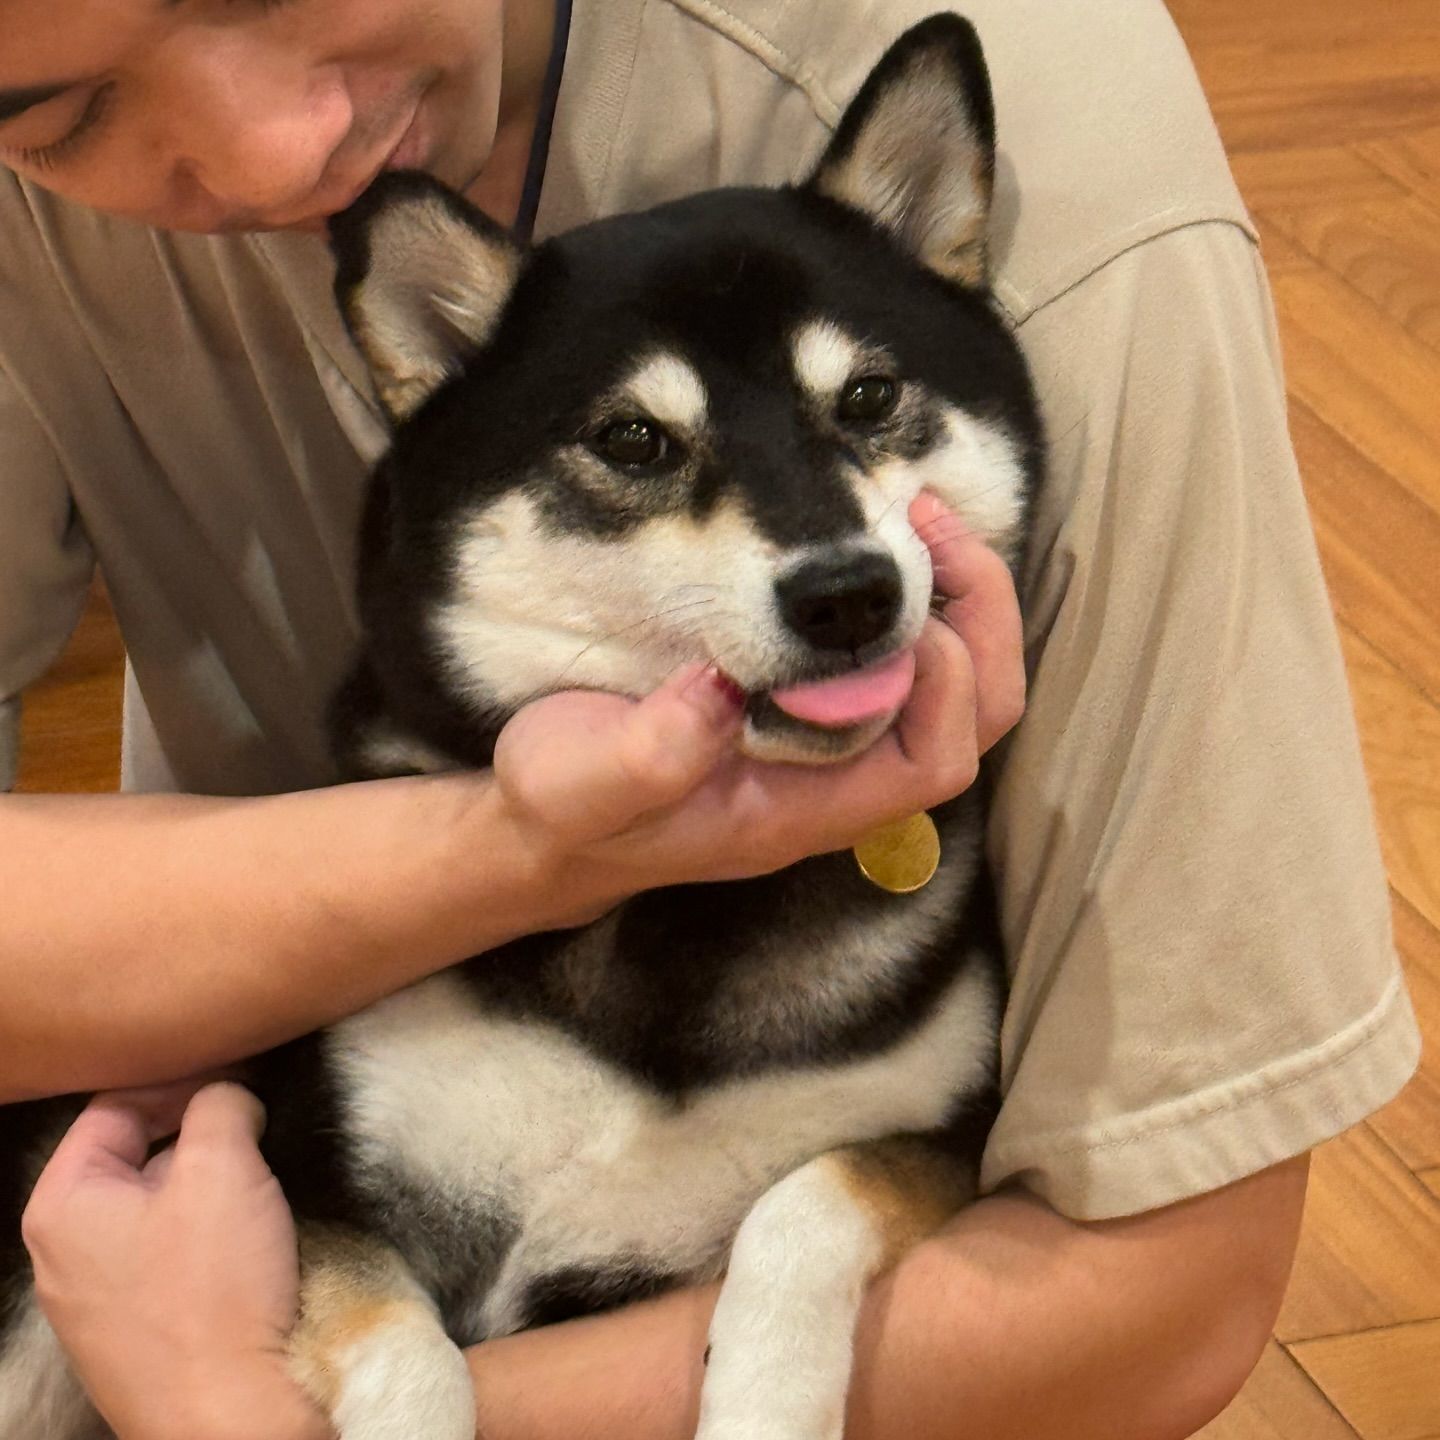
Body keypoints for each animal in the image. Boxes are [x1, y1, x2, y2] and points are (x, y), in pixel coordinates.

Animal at [0, 19, 1042, 1440]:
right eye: (633, 438)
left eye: (873, 398)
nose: (847, 592)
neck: (678, 927)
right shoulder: (318, 1189)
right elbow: (413, 1359)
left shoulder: (947, 1138)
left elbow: (803, 1206)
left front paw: (767, 1395)